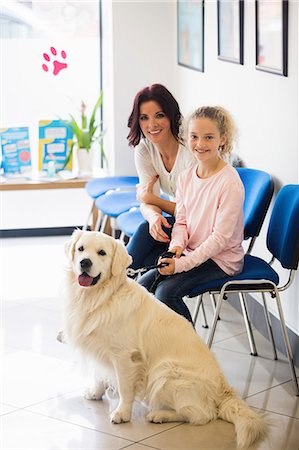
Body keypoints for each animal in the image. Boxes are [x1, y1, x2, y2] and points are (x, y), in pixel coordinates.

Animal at [63, 230, 270, 448]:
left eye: (102, 253)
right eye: (81, 249)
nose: (85, 262)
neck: (101, 297)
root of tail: (223, 388)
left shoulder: (124, 357)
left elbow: (125, 389)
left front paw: (122, 413)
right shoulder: (99, 347)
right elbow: (99, 375)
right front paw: (95, 392)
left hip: (164, 371)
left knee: (202, 415)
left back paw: (160, 415)